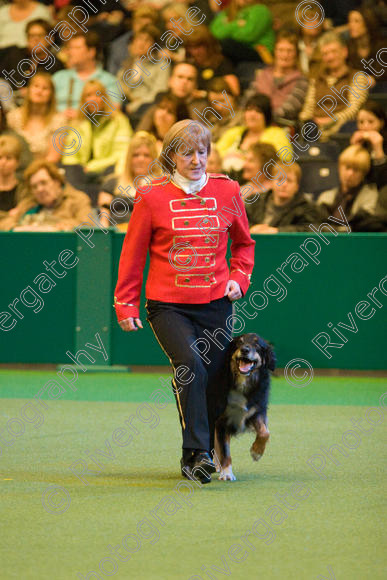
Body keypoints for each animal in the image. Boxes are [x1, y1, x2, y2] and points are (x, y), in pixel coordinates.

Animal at [215, 334, 276, 482]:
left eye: (257, 345)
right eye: (239, 343)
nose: (245, 350)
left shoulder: (256, 411)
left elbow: (265, 432)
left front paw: (257, 452)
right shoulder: (221, 421)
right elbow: (225, 450)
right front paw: (227, 472)